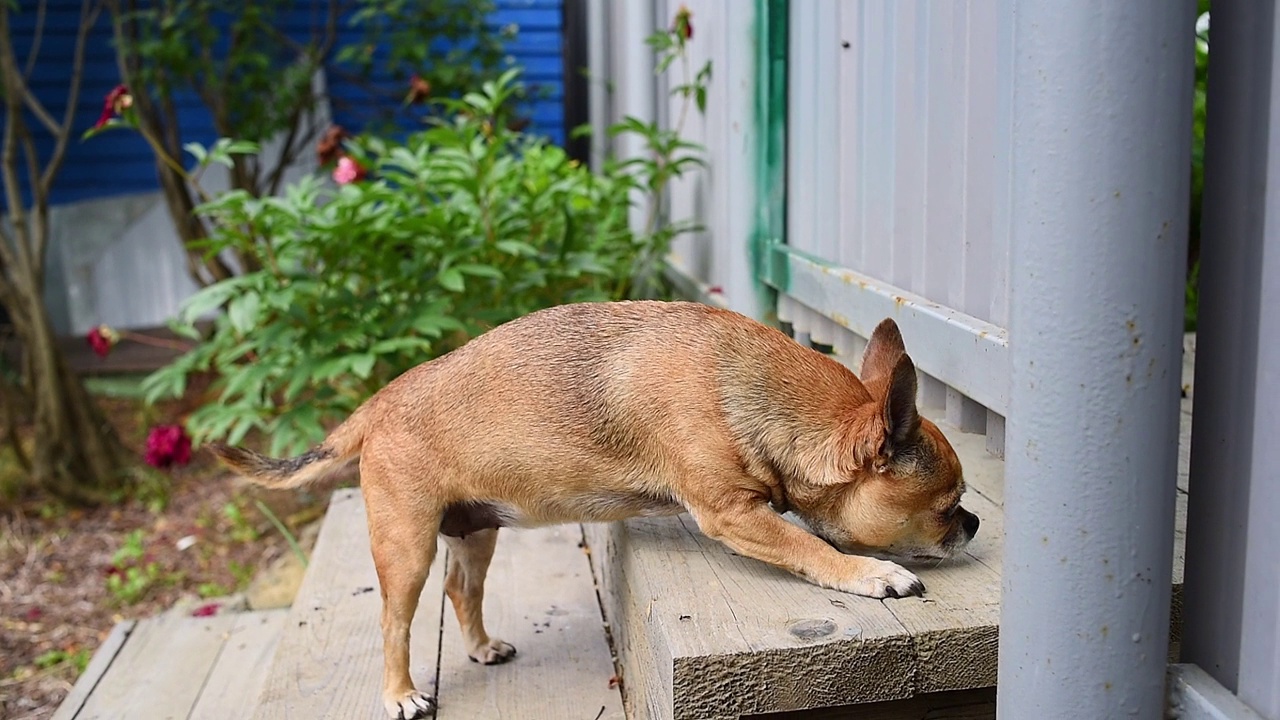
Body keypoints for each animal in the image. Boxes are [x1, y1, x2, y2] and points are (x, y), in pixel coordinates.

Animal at [209, 299, 972, 712]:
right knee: (395, 623)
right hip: (407, 549)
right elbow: (812, 546)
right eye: (948, 505)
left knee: (462, 591)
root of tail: (379, 403)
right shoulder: (733, 513)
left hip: (474, 534)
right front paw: (872, 574)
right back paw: (400, 694)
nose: (973, 523)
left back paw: (482, 646)